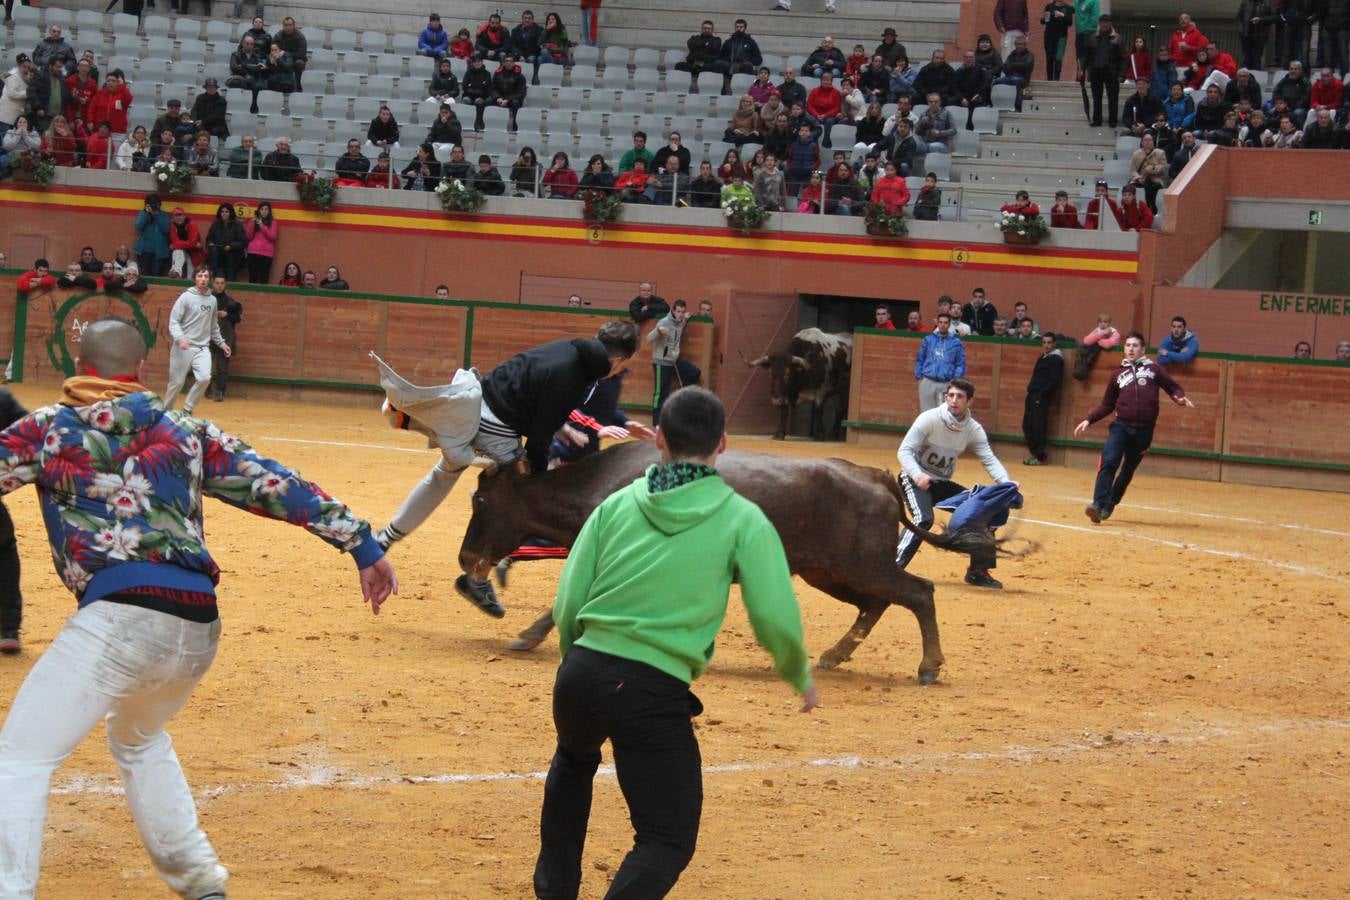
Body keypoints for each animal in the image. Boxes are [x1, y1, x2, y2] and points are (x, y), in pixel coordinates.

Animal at [459, 437, 988, 682]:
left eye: (479, 500)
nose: (466, 559)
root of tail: (877, 476)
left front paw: (528, 637)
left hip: (861, 565)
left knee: (917, 592)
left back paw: (928, 666)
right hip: (830, 571)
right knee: (876, 604)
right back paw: (835, 655)